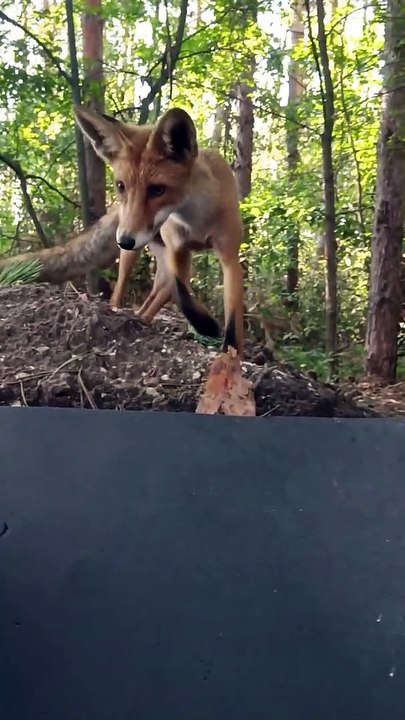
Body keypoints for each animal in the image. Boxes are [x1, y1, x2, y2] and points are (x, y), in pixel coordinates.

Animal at [74, 105, 245, 354]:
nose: (124, 240)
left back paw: (142, 319)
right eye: (121, 186)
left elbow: (232, 321)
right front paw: (206, 324)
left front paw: (229, 354)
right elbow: (183, 294)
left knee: (155, 296)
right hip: (134, 256)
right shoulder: (178, 251)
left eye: (157, 190)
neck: (196, 220)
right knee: (123, 291)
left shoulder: (229, 256)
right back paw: (120, 313)